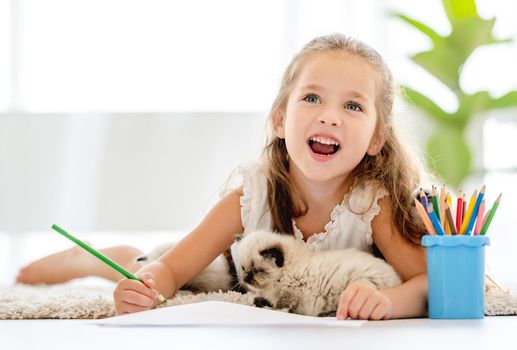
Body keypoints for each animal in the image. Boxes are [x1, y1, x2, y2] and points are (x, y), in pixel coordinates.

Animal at [236, 230, 402, 318]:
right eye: (243, 268)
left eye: (258, 270)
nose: (246, 278)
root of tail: (397, 281)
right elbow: (264, 300)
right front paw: (257, 301)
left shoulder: (291, 291)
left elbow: (280, 306)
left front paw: (270, 309)